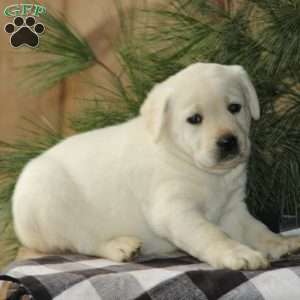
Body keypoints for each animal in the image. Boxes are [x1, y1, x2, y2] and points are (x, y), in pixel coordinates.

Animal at [11, 62, 300, 270]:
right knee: (83, 240)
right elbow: (212, 235)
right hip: (51, 201)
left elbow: (256, 228)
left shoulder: (233, 209)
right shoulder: (175, 210)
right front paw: (237, 253)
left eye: (234, 107)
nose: (228, 141)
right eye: (194, 119)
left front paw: (280, 242)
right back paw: (120, 246)